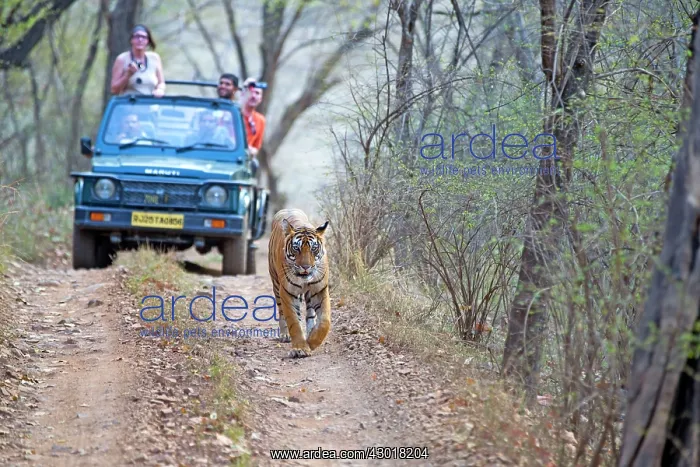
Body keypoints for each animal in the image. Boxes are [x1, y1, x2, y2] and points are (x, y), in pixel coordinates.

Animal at [268, 208, 330, 358]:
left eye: (314, 248)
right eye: (296, 248)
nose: (306, 267)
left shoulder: (320, 290)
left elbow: (325, 321)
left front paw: (312, 342)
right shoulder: (287, 292)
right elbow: (294, 321)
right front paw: (300, 348)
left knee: (310, 314)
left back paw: (310, 332)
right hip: (276, 285)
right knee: (282, 313)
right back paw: (285, 335)